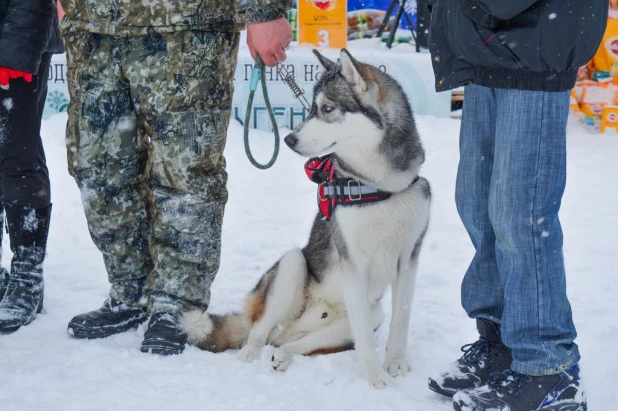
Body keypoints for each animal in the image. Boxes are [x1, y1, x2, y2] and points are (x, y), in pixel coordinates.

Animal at [184, 48, 428, 390]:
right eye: (312, 108)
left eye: (327, 108)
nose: (288, 140)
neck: (381, 188)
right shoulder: (353, 262)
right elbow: (365, 338)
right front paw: (374, 375)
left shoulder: (409, 258)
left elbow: (401, 318)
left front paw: (395, 363)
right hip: (292, 265)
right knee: (259, 332)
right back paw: (249, 354)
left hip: (366, 313)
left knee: (290, 342)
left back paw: (284, 355)